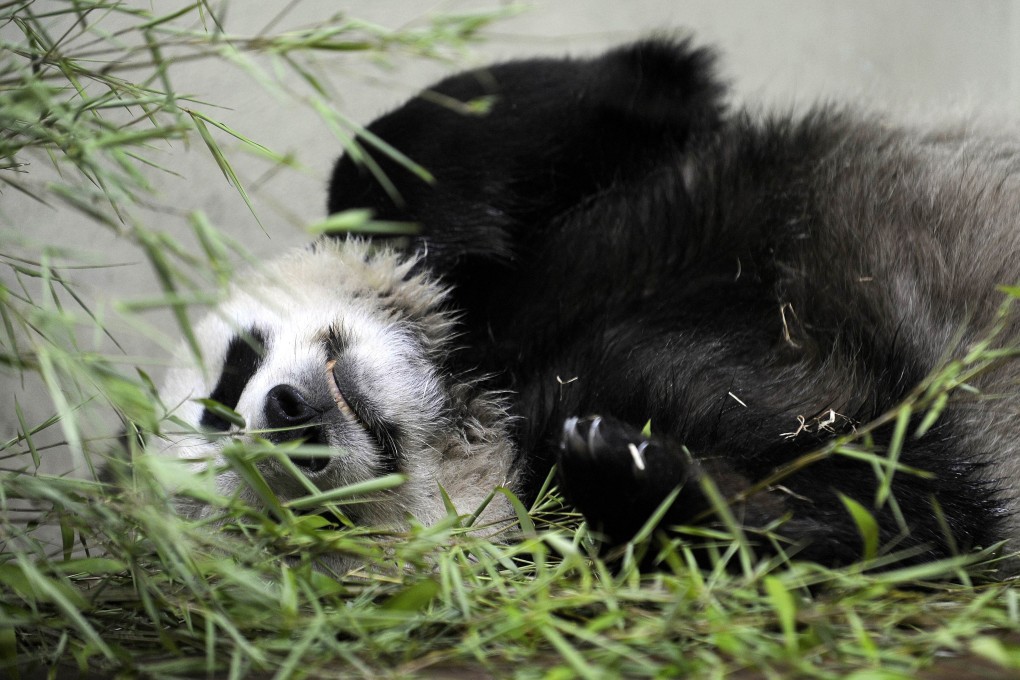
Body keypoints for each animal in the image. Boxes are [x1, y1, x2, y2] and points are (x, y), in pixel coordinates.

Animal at [160, 37, 1020, 570]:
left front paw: (420, 235)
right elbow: (909, 514)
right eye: (287, 521)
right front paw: (631, 468)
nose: (289, 413)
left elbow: (621, 88)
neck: (480, 396)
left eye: (231, 379)